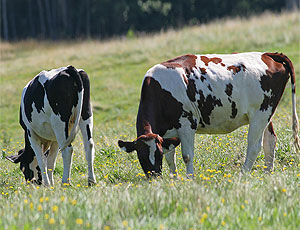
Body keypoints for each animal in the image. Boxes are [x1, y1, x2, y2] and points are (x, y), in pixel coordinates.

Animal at [118, 52, 298, 178]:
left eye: (157, 154)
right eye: (141, 155)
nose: (154, 177)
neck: (160, 91)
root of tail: (267, 54)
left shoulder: (187, 124)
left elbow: (187, 156)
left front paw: (189, 179)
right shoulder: (167, 133)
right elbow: (171, 157)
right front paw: (174, 179)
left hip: (259, 115)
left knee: (254, 147)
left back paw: (243, 174)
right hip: (266, 113)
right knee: (270, 140)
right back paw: (267, 174)